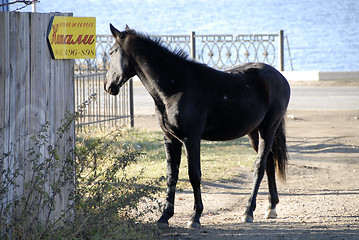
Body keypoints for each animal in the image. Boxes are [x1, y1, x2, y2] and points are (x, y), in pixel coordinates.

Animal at [105, 24, 292, 229]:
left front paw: (195, 217)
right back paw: (271, 207)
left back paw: (248, 211)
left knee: (260, 166)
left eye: (112, 52)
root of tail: (280, 78)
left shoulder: (192, 138)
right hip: (253, 132)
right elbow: (172, 175)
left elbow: (194, 175)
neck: (176, 86)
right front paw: (164, 216)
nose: (108, 85)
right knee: (269, 161)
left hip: (269, 128)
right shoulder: (170, 139)